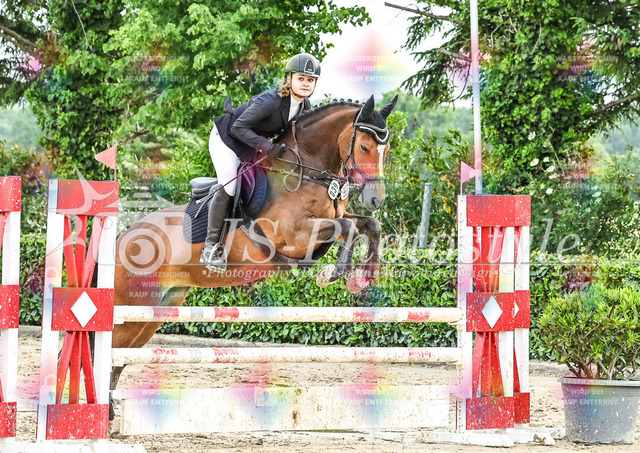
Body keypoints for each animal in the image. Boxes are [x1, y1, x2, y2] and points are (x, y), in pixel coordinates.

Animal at [109, 95, 398, 399]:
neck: (305, 172)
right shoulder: (292, 235)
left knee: (119, 359)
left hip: (157, 310)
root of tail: (122, 239)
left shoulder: (332, 219)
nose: (376, 199)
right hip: (134, 304)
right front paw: (331, 274)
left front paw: (366, 276)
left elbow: (369, 225)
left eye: (387, 148)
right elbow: (349, 228)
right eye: (364, 146)